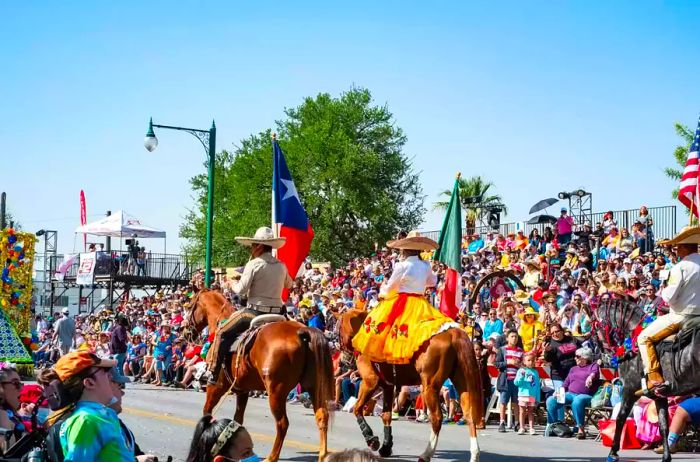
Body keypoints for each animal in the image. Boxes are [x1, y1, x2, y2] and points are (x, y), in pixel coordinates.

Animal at [182, 290, 332, 460]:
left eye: (191, 305)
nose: (185, 331)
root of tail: (302, 332)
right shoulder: (242, 390)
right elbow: (238, 418)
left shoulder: (216, 386)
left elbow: (207, 411)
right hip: (315, 387)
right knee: (322, 416)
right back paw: (322, 455)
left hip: (276, 391)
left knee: (282, 423)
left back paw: (272, 457)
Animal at [340, 308, 484, 462]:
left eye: (338, 326)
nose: (344, 358)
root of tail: (452, 333)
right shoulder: (388, 386)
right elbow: (386, 415)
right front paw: (386, 446)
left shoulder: (370, 381)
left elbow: (357, 409)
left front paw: (371, 439)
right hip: (462, 382)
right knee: (469, 415)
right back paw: (475, 454)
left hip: (429, 387)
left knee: (436, 418)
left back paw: (426, 454)